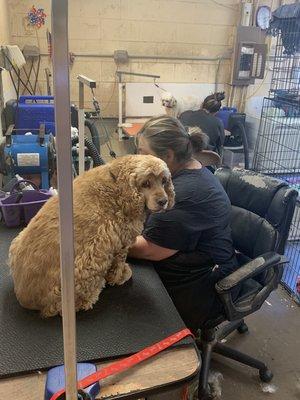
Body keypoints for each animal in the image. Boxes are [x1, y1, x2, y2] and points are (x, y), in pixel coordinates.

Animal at [8, 155, 175, 318]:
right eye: (146, 183)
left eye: (164, 181)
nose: (163, 201)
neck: (118, 181)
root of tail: (25, 299)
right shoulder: (121, 241)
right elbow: (119, 262)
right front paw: (119, 276)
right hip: (94, 253)